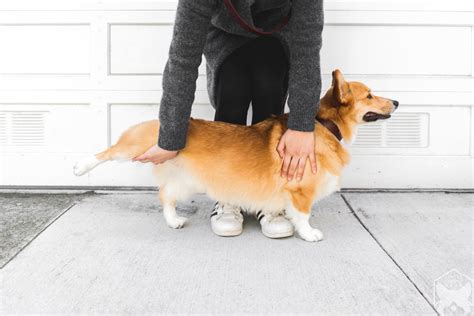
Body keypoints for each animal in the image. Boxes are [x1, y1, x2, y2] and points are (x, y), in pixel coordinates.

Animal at [74, 69, 398, 242]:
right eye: (369, 95)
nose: (396, 101)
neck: (324, 125)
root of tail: (170, 124)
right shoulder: (300, 191)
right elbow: (303, 216)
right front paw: (309, 234)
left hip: (184, 180)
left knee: (165, 198)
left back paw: (174, 221)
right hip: (138, 144)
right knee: (107, 152)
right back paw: (80, 166)